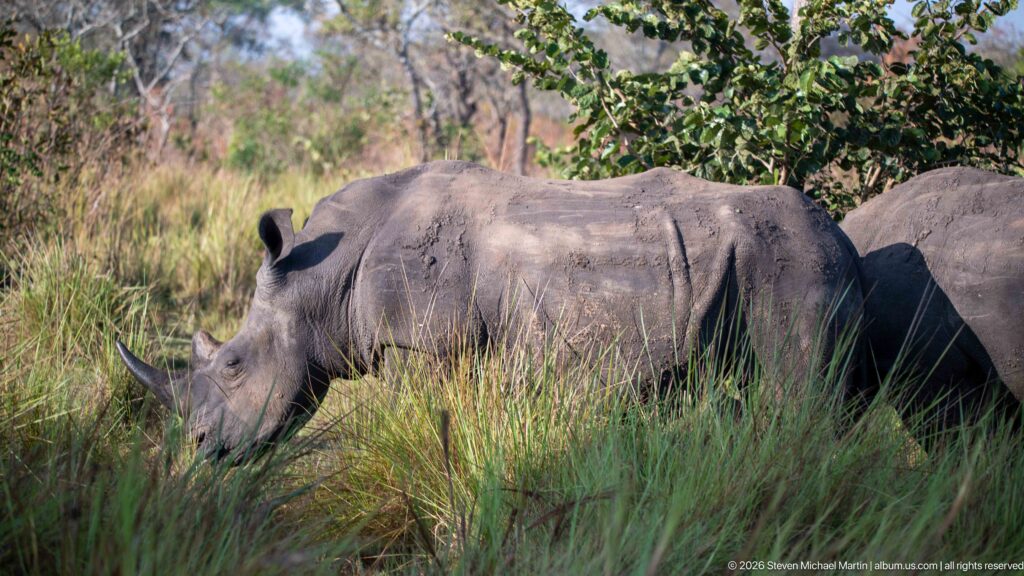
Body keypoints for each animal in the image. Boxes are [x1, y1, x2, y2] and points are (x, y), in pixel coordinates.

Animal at [118, 161, 864, 460]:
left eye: (235, 363)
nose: (200, 448)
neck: (319, 278)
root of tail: (847, 241)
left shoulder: (423, 342)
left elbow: (428, 422)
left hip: (795, 266)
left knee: (800, 397)